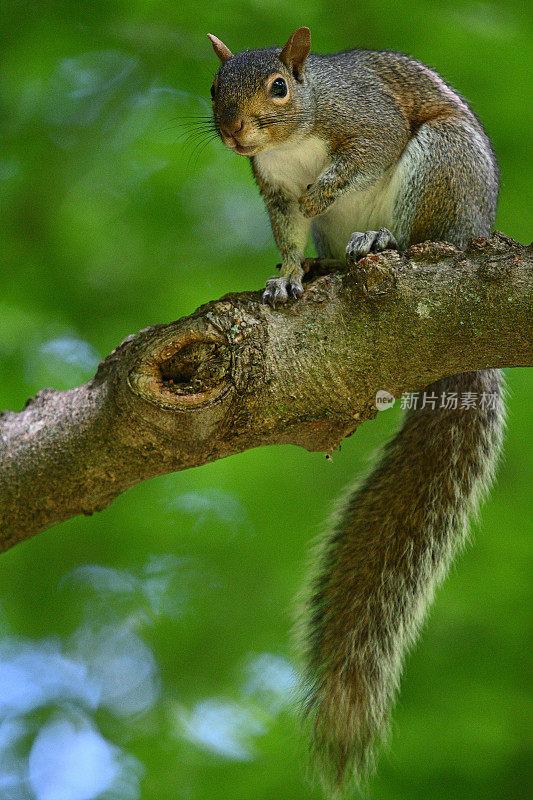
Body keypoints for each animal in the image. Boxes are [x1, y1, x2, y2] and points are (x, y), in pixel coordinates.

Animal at [207, 25, 502, 792]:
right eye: (213, 91)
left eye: (280, 87)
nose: (235, 134)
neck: (291, 142)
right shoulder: (270, 190)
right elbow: (285, 234)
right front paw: (284, 276)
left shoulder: (368, 121)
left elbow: (363, 154)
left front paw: (325, 187)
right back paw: (324, 267)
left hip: (441, 167)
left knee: (420, 229)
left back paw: (386, 242)